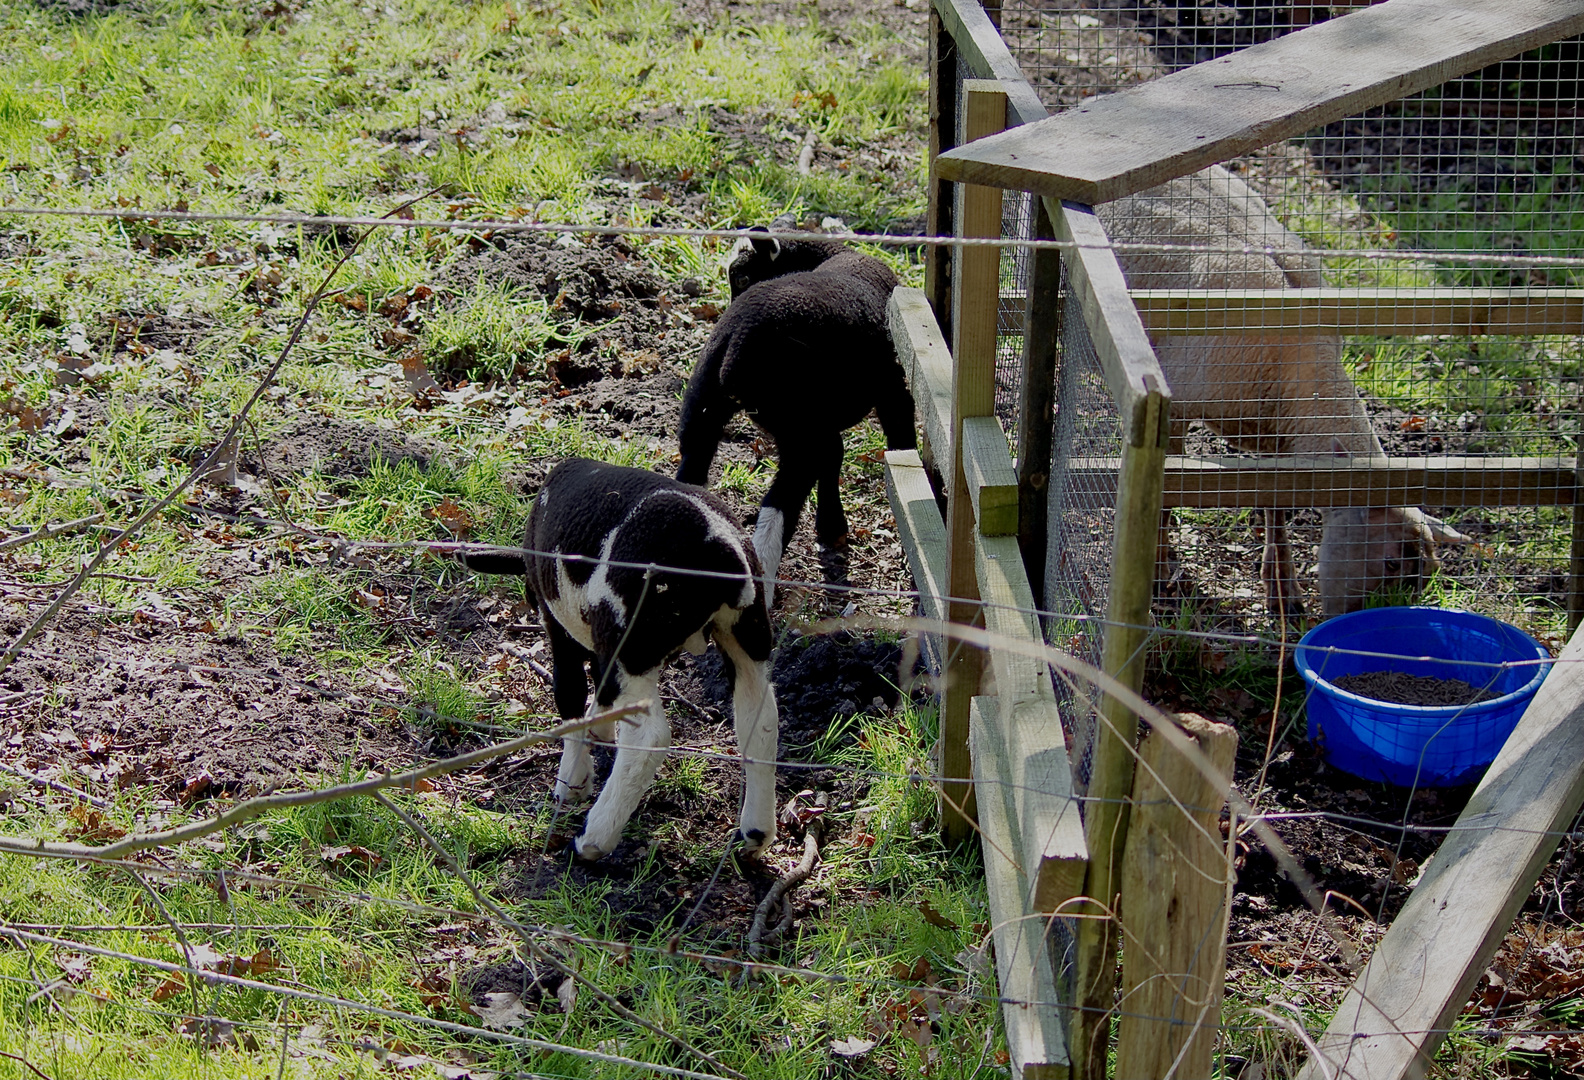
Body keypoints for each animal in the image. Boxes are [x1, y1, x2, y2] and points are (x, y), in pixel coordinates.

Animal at [462, 452, 776, 855]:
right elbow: (599, 686)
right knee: (761, 718)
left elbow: (569, 694)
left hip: (633, 639)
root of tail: (717, 547)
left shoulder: (561, 628)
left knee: (649, 739)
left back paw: (592, 839)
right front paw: (600, 730)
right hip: (746, 629)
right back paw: (754, 835)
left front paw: (572, 783)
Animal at [671, 226, 918, 601]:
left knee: (692, 470)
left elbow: (834, 456)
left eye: (742, 276)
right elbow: (900, 435)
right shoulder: (890, 385)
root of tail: (733, 347)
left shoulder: (823, 422)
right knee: (781, 501)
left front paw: (831, 527)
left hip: (705, 405)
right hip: (793, 417)